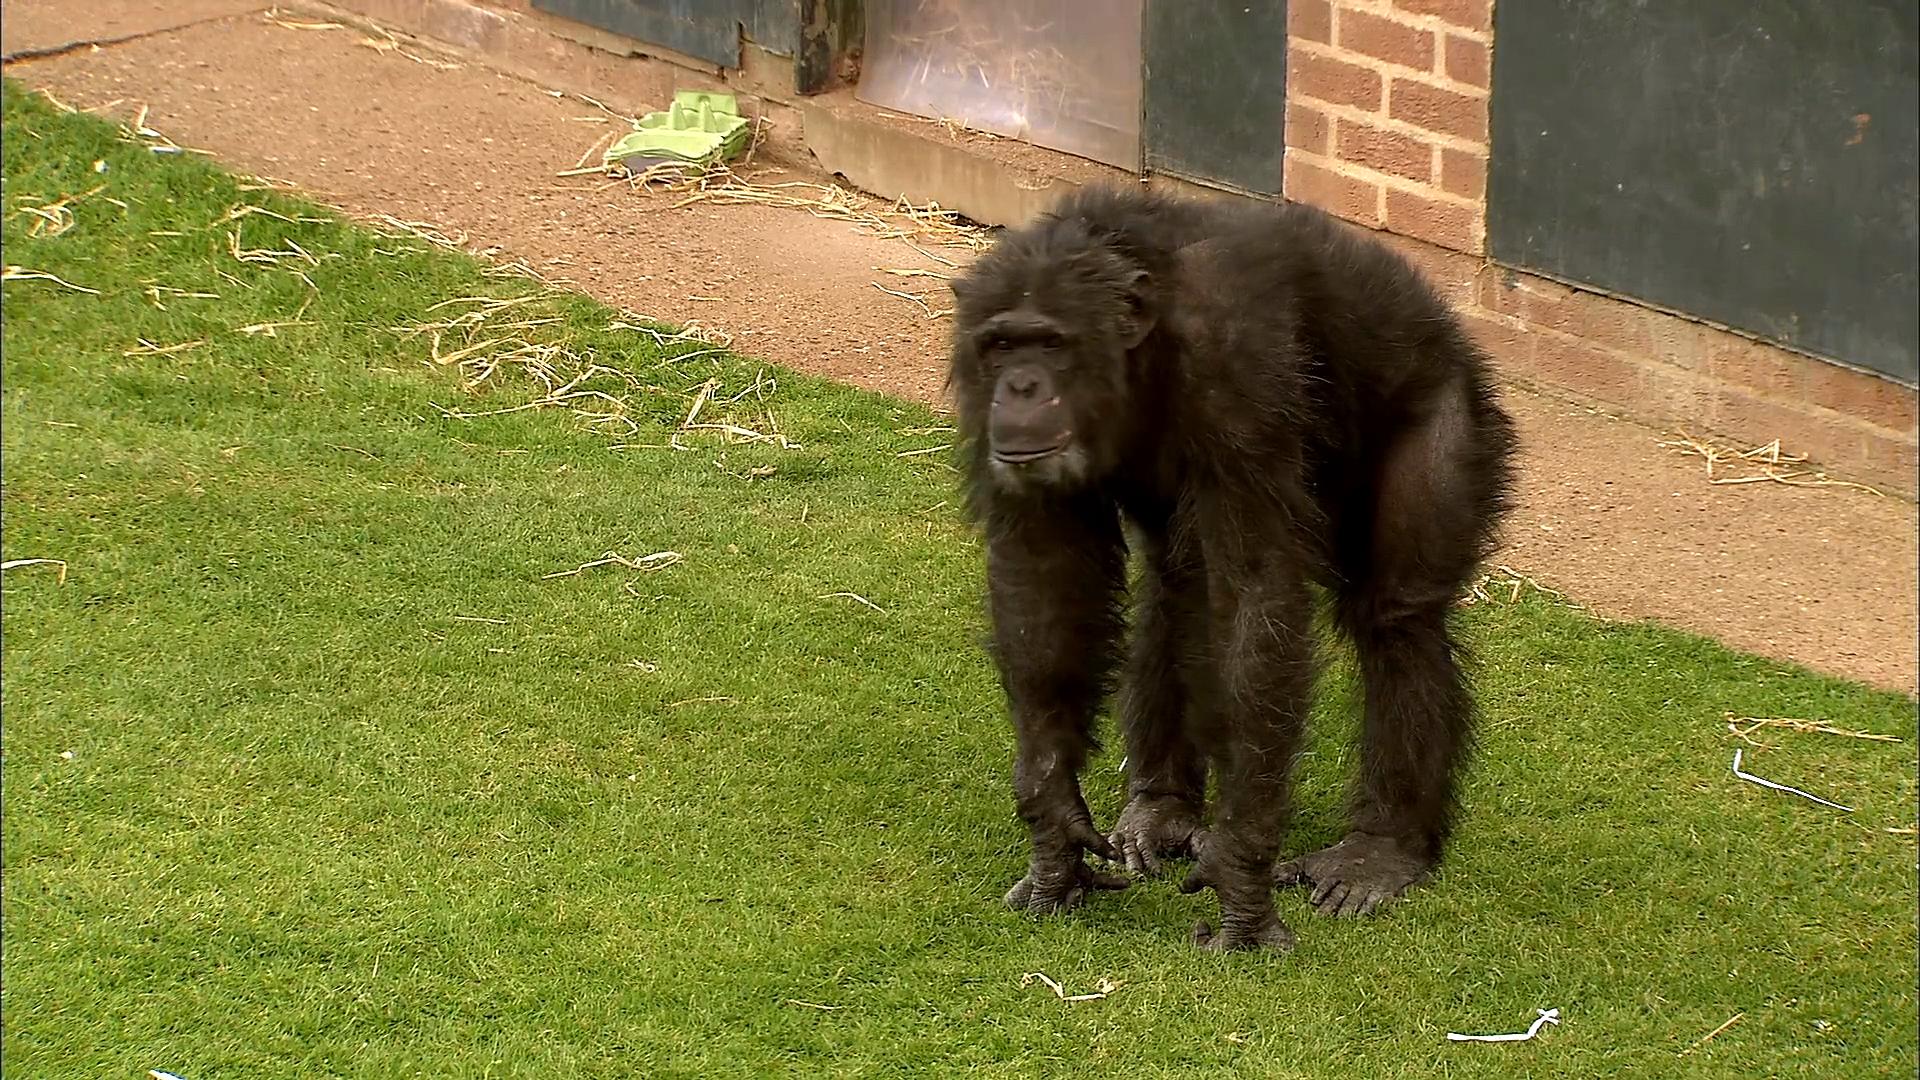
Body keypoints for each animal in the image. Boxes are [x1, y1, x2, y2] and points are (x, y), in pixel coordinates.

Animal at [945, 185, 1518, 952]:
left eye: (1050, 341)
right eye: (1001, 344)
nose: (1022, 387)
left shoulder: (1239, 367)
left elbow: (1255, 594)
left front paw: (1241, 873)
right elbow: (1040, 581)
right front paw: (1053, 829)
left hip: (1446, 406)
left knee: (1399, 620)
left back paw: (1381, 850)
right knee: (1178, 586)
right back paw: (1160, 811)